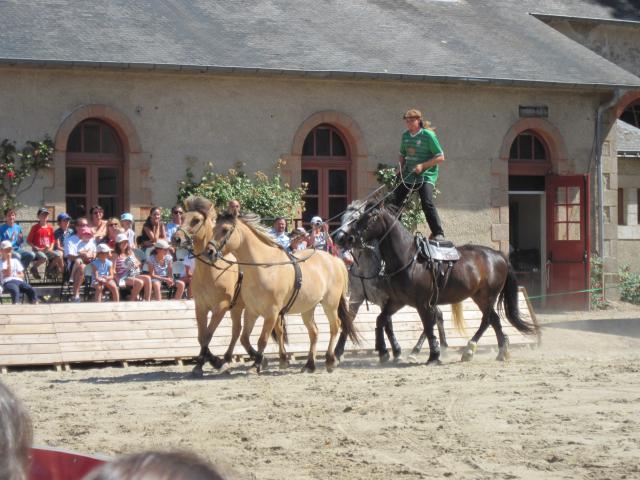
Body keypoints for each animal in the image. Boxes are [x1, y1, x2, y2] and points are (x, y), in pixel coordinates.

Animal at [172, 197, 260, 376]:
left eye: (196, 220)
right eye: (181, 217)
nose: (176, 238)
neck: (211, 270)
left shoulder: (221, 307)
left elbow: (207, 335)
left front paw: (210, 362)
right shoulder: (201, 306)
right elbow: (201, 336)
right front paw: (207, 362)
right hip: (238, 307)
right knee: (237, 330)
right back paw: (227, 358)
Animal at [211, 212, 358, 374]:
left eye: (225, 230)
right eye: (213, 228)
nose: (209, 252)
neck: (263, 267)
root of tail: (335, 260)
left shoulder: (272, 312)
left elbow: (262, 340)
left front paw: (257, 364)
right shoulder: (251, 311)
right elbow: (244, 338)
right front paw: (271, 361)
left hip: (330, 304)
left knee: (335, 326)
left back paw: (330, 360)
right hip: (308, 308)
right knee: (314, 332)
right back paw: (309, 365)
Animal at [336, 199, 540, 364]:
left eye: (369, 217)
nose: (347, 237)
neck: (408, 258)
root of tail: (498, 255)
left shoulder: (422, 303)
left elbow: (427, 325)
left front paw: (433, 355)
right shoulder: (397, 301)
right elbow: (381, 320)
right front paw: (384, 352)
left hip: (486, 296)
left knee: (487, 320)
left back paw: (469, 349)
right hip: (479, 297)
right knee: (494, 320)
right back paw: (498, 351)